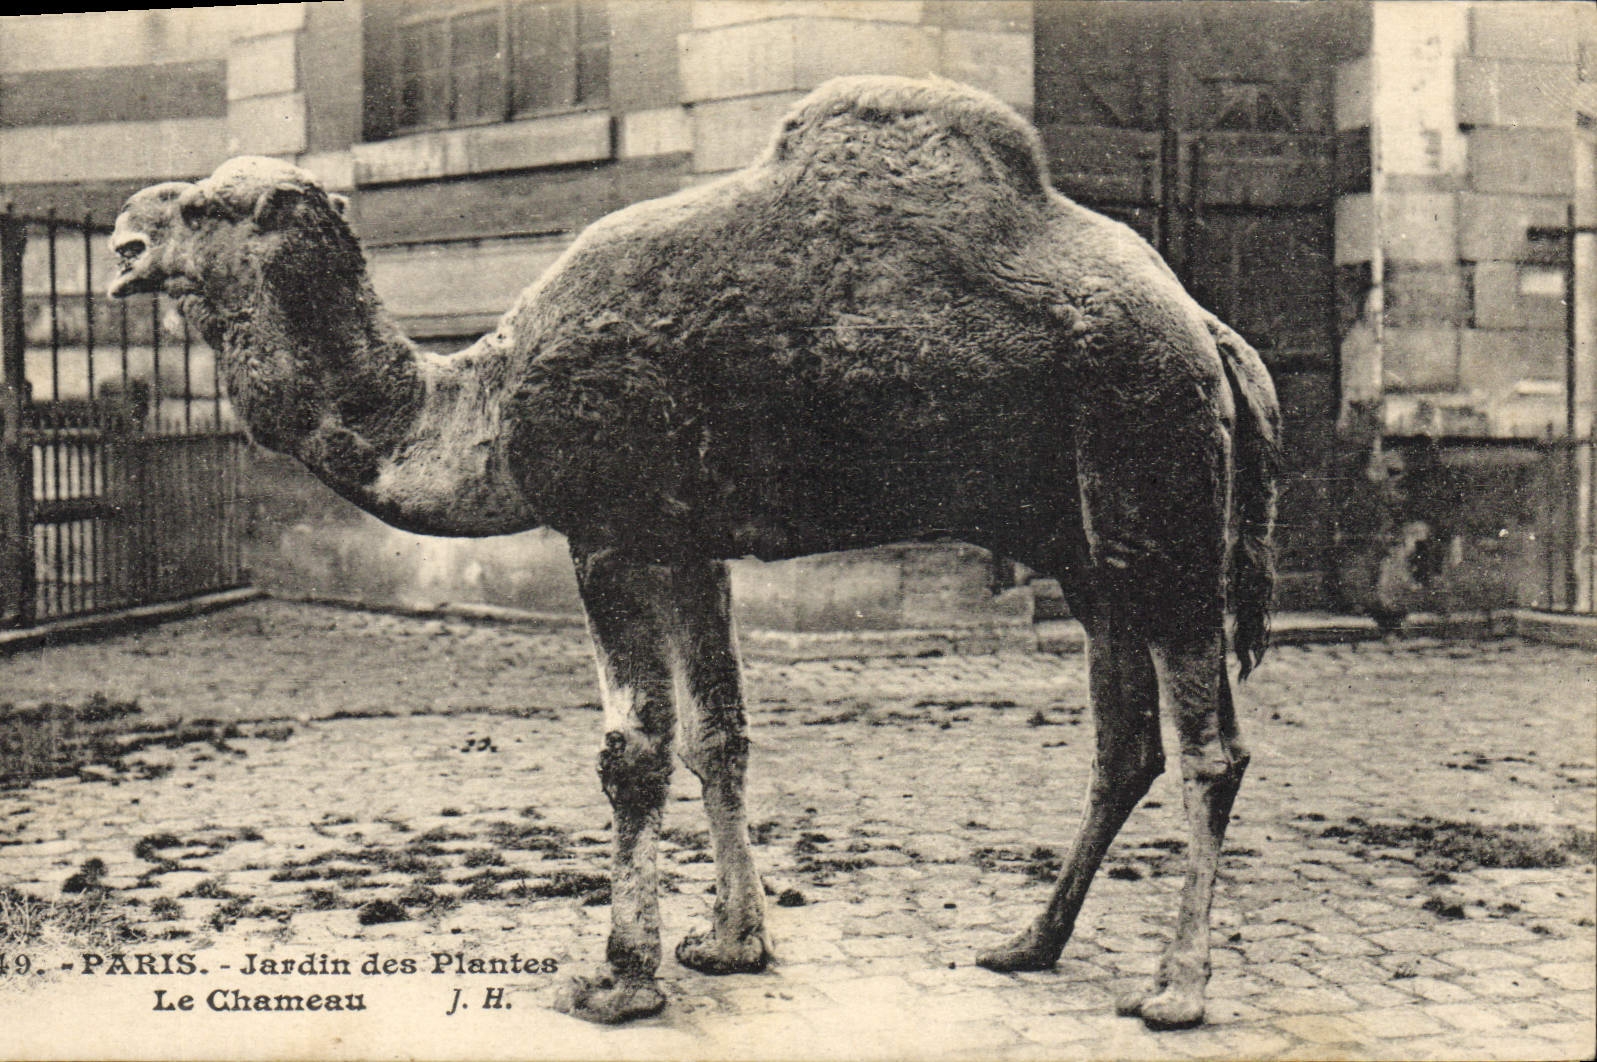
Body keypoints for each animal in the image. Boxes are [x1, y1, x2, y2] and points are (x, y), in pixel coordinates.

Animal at [109, 76, 1280, 1029]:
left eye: (205, 206)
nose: (122, 235)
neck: (476, 401)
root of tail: (1213, 335)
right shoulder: (687, 545)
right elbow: (720, 734)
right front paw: (729, 944)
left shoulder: (609, 529)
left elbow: (632, 752)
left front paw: (619, 979)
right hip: (1090, 548)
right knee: (1123, 744)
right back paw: (1028, 944)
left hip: (1155, 481)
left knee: (1207, 748)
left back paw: (1175, 990)